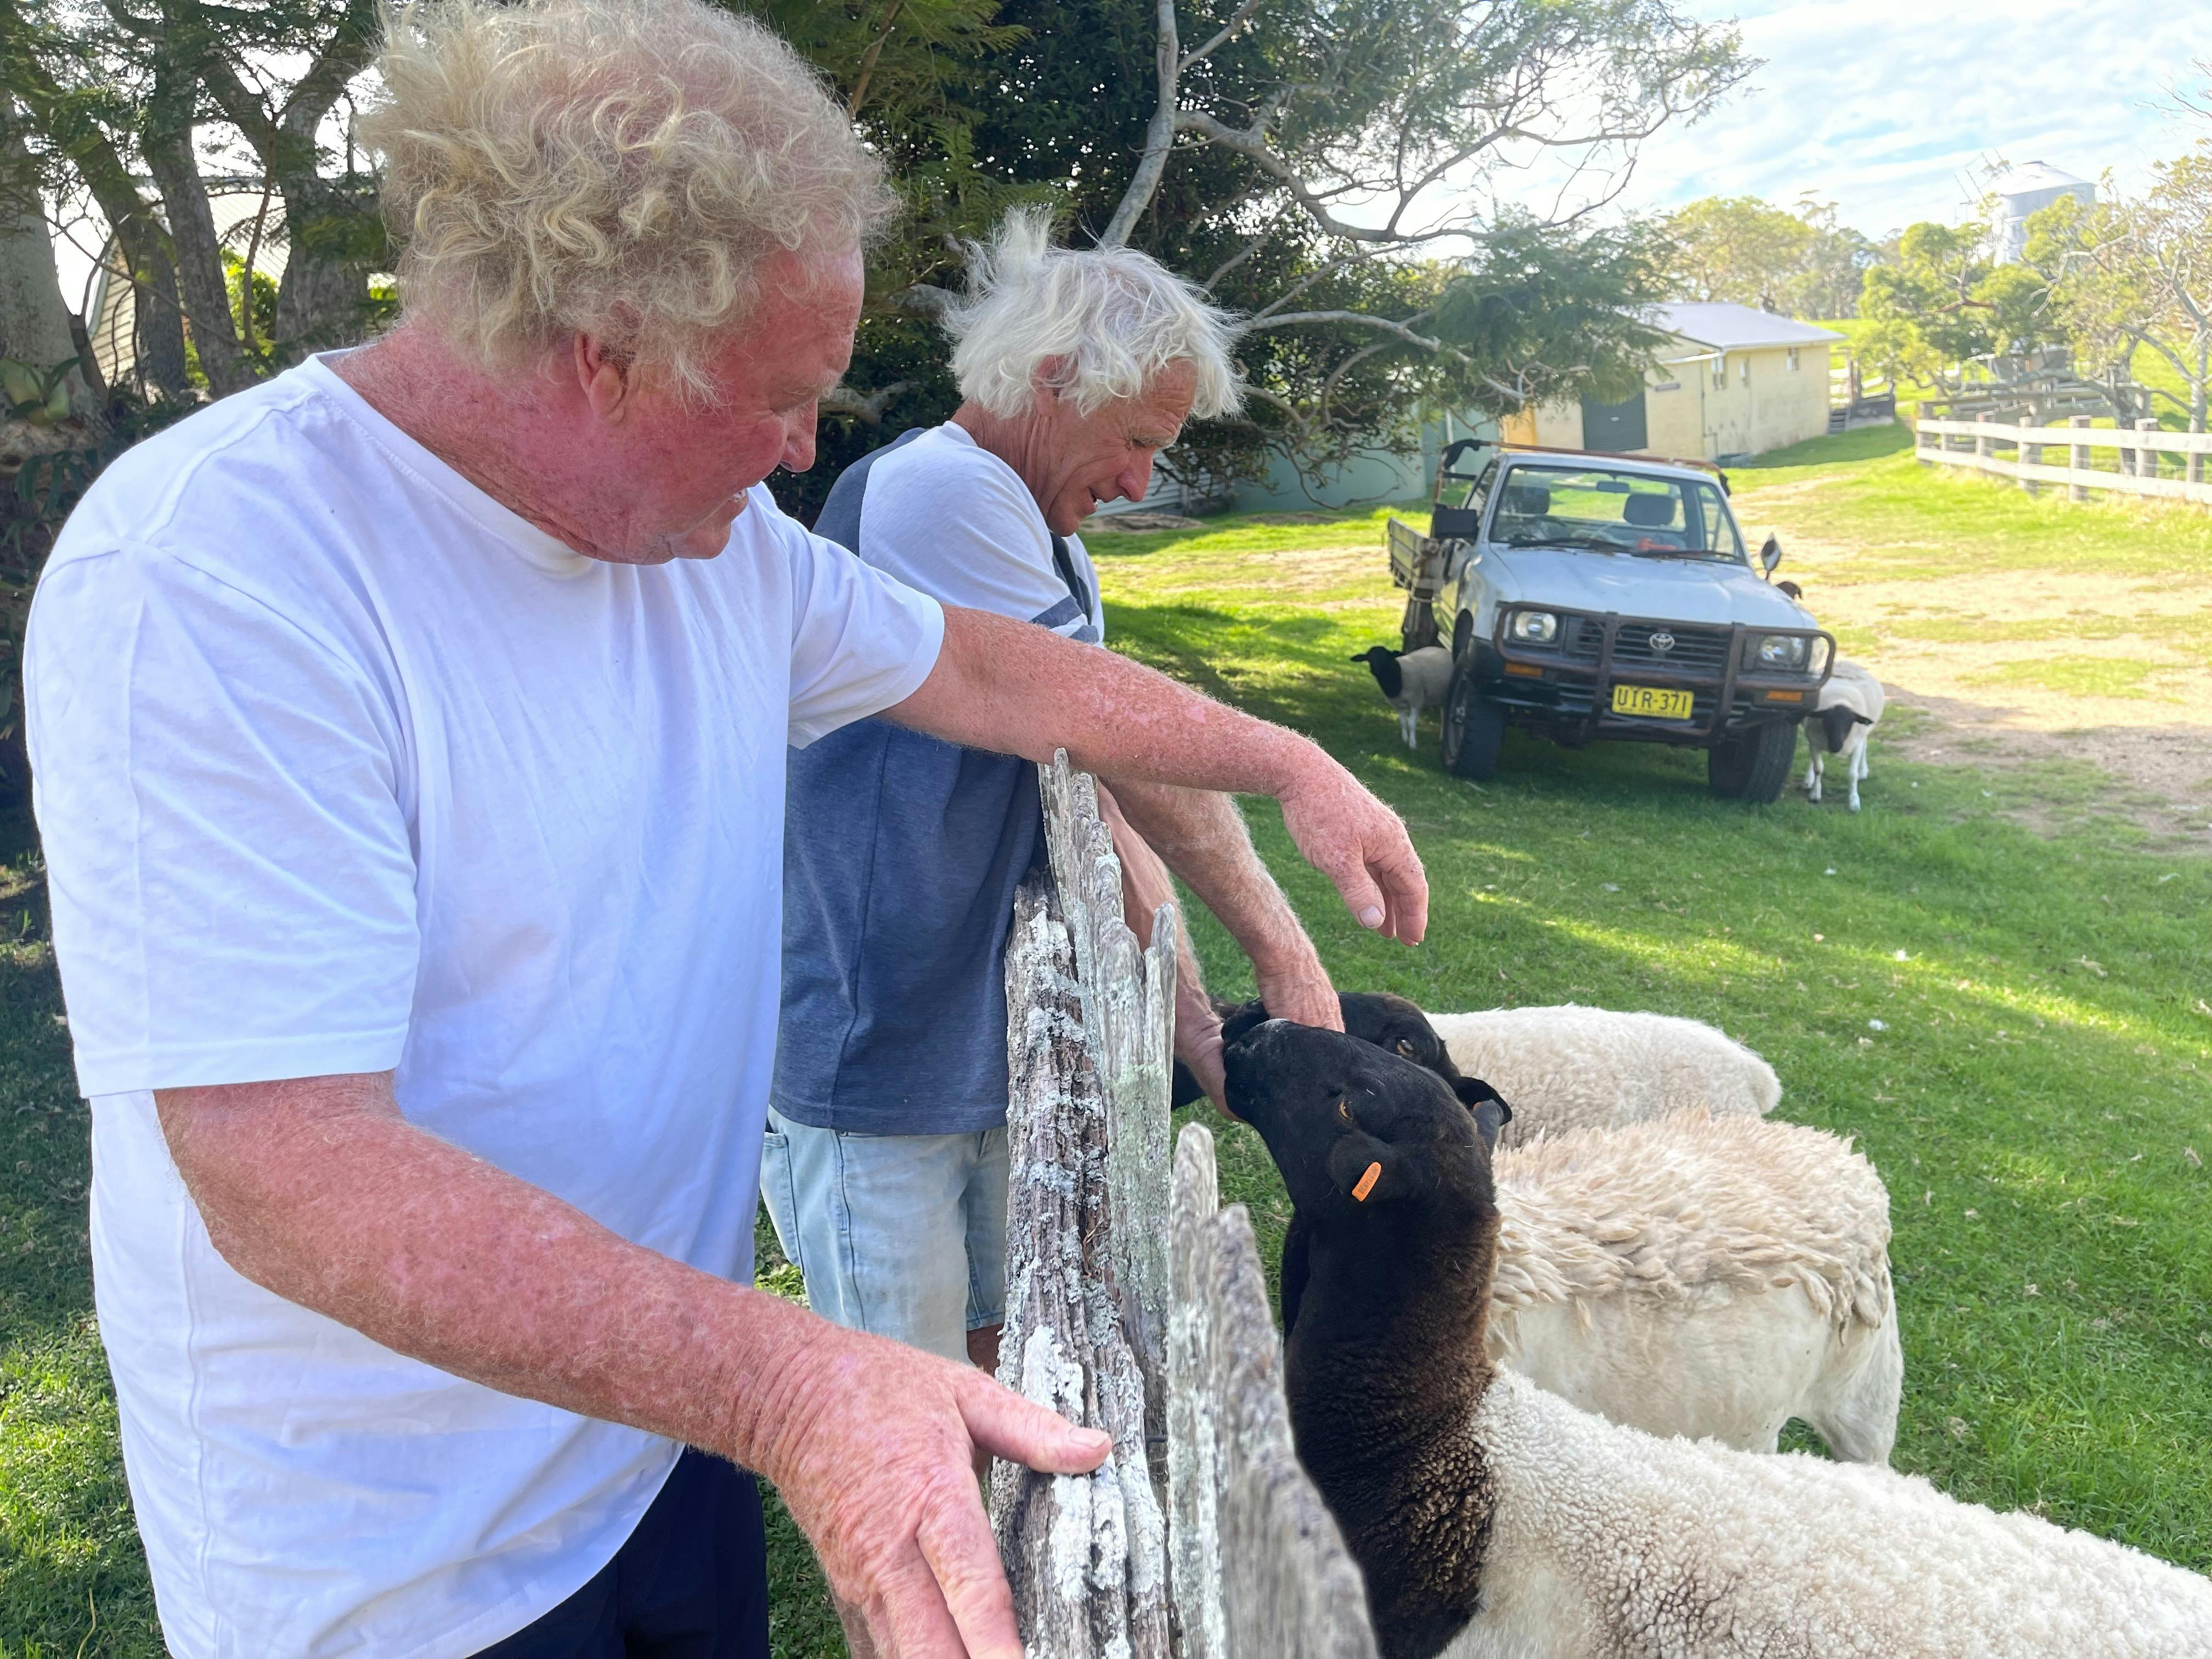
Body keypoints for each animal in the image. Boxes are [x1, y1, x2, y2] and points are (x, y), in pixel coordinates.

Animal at [1352, 644, 1454, 749]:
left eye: (1386, 657)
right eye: (1369, 659)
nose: (1374, 670)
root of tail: (1443, 650)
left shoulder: (1416, 701)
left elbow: (1411, 724)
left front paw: (1412, 744)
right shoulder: (1399, 705)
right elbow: (1403, 722)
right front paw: (1404, 739)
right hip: (1441, 697)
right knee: (1444, 714)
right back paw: (1442, 737)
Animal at [1804, 657, 1885, 811]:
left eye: (1850, 723)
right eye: (1827, 721)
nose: (1836, 747)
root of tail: (1846, 662)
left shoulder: (1856, 744)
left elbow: (1852, 775)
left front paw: (1854, 802)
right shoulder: (1815, 742)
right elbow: (1818, 769)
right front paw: (1815, 794)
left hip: (1864, 732)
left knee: (1865, 745)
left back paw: (1863, 772)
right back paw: (1808, 781)